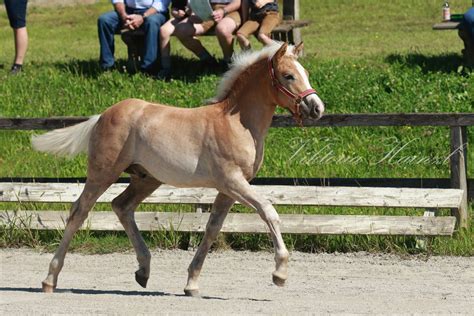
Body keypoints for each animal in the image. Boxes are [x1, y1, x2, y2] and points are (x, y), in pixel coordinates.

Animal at [32, 42, 322, 296]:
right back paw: (49, 280)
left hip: (146, 179)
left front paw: (191, 284)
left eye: (306, 74)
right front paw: (280, 273)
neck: (236, 123)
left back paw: (143, 271)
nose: (317, 108)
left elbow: (212, 229)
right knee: (79, 211)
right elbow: (268, 212)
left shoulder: (228, 190)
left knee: (121, 206)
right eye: (288, 76)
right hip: (103, 174)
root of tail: (102, 116)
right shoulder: (233, 182)